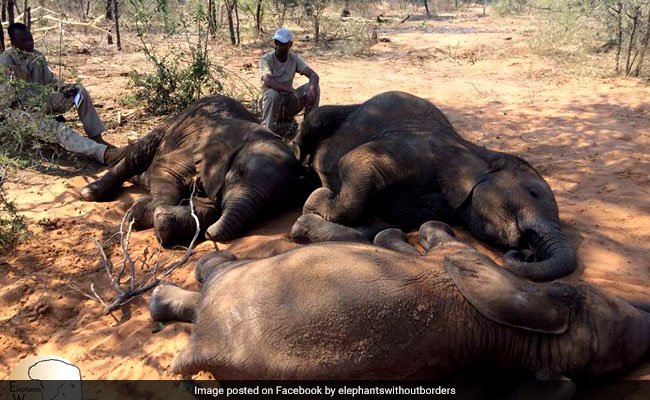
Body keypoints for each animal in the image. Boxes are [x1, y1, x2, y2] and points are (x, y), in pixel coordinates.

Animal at [80, 95, 301, 247]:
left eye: (273, 204)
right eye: (238, 173)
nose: (210, 235)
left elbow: (211, 209)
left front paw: (165, 219)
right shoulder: (196, 149)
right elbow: (165, 169)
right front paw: (141, 213)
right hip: (169, 125)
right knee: (137, 156)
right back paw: (90, 192)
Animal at [290, 91, 576, 281]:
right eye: (533, 193)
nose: (527, 254)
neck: (475, 151)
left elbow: (382, 221)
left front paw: (308, 220)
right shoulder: (416, 151)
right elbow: (355, 161)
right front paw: (317, 199)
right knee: (313, 123)